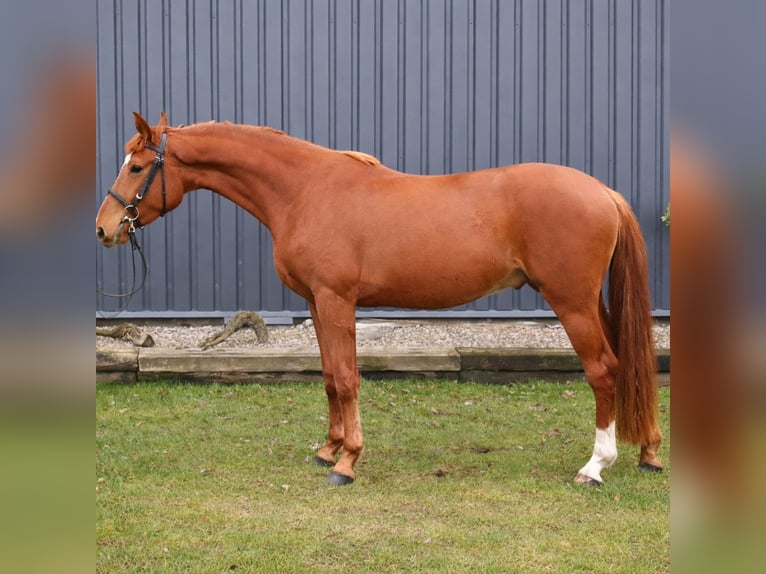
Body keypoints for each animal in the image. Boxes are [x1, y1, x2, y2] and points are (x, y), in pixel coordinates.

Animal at [97, 112, 663, 486]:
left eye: (137, 166)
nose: (106, 228)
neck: (305, 190)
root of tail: (603, 192)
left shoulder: (336, 300)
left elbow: (348, 379)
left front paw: (347, 463)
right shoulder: (315, 303)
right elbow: (329, 377)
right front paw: (327, 450)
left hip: (572, 304)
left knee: (605, 371)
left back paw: (595, 466)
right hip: (595, 304)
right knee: (631, 366)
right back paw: (649, 452)